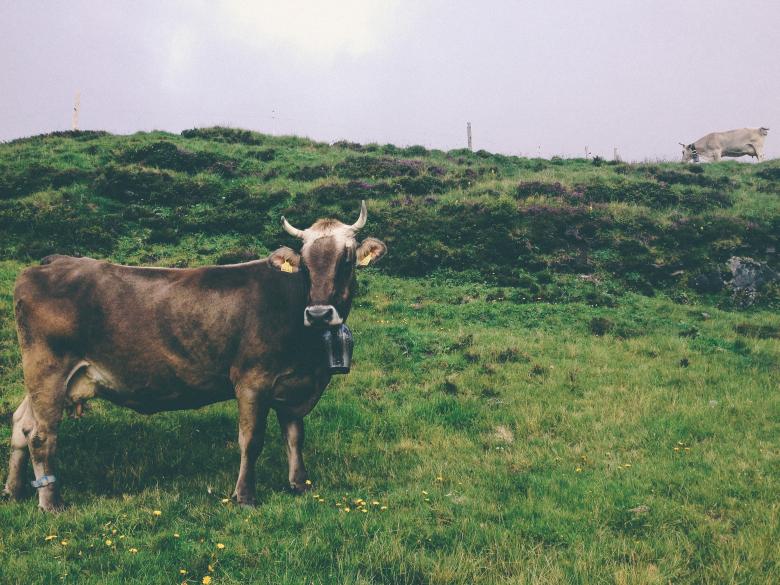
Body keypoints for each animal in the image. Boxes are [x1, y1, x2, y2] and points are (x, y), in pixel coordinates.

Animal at [2, 201, 387, 511]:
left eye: (347, 259)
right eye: (304, 264)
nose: (319, 313)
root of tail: (52, 261)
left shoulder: (294, 384)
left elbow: (294, 435)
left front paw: (299, 484)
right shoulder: (252, 380)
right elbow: (251, 440)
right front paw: (245, 496)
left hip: (48, 378)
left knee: (21, 423)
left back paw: (14, 491)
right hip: (48, 369)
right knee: (41, 435)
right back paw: (51, 503)